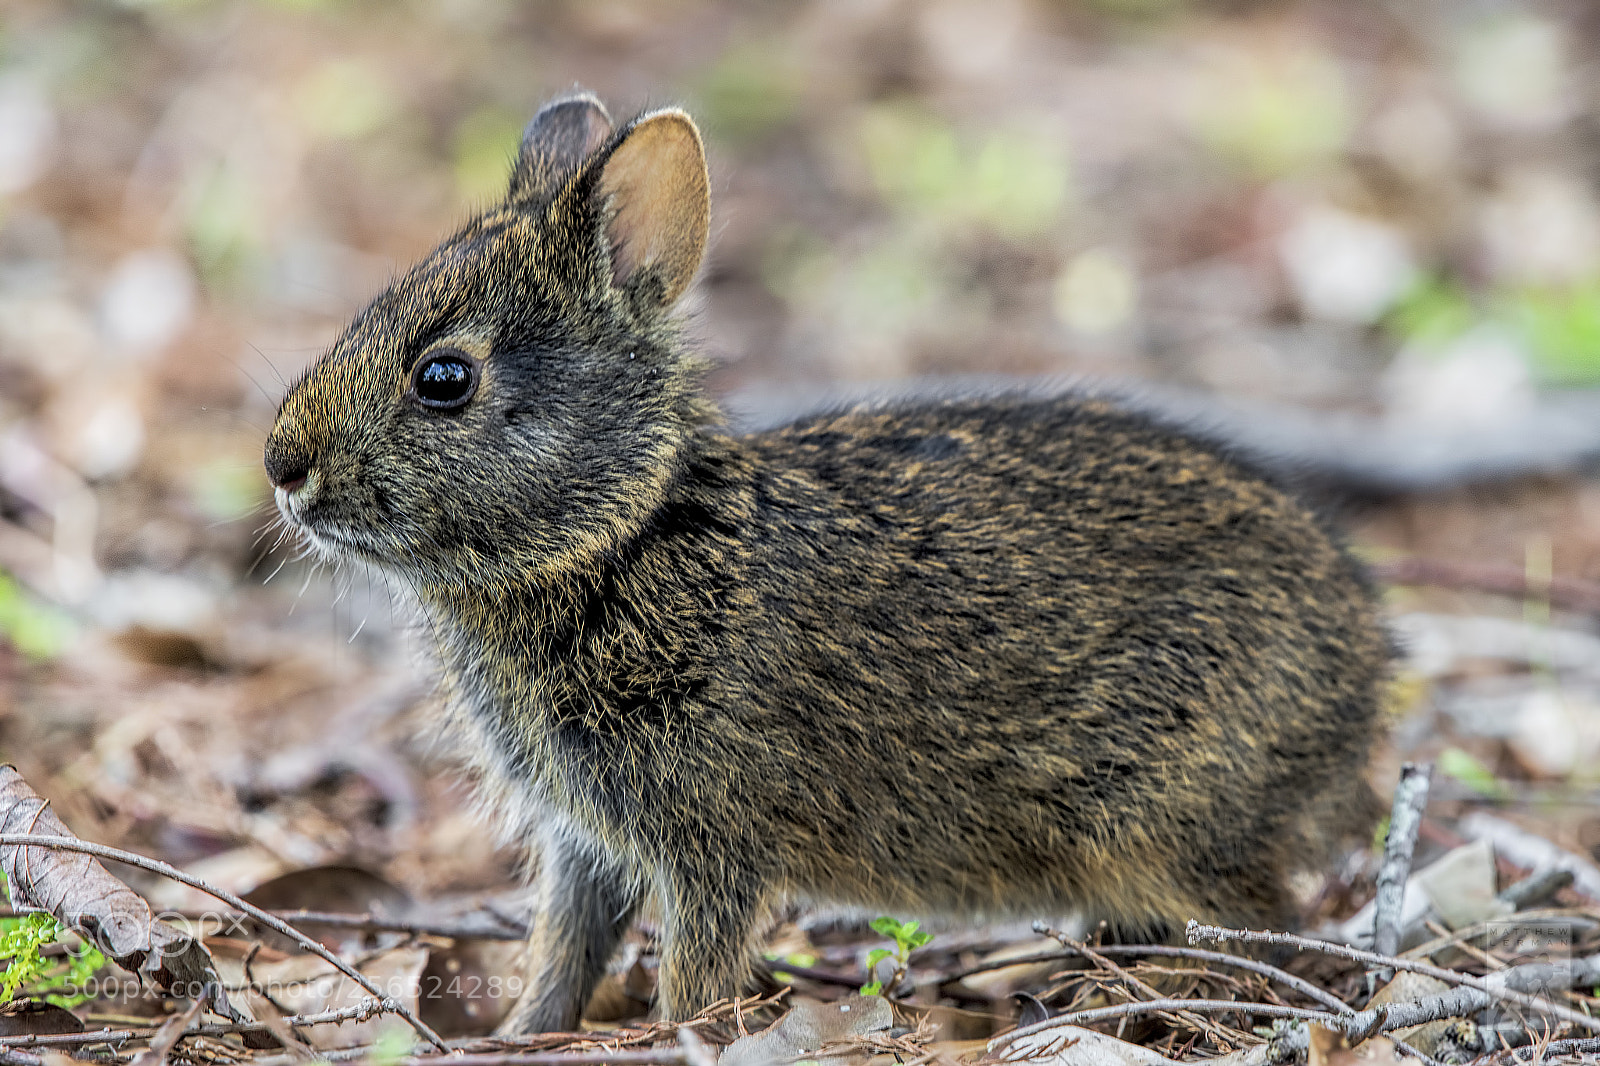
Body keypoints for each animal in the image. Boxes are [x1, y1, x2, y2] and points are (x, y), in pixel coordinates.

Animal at [262, 93, 1388, 1030]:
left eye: (444, 377)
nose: (282, 464)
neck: (622, 532)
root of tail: (1368, 680)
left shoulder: (713, 840)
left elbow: (696, 967)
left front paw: (678, 1035)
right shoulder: (586, 840)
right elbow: (563, 952)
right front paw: (521, 1036)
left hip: (1155, 811)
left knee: (1260, 919)